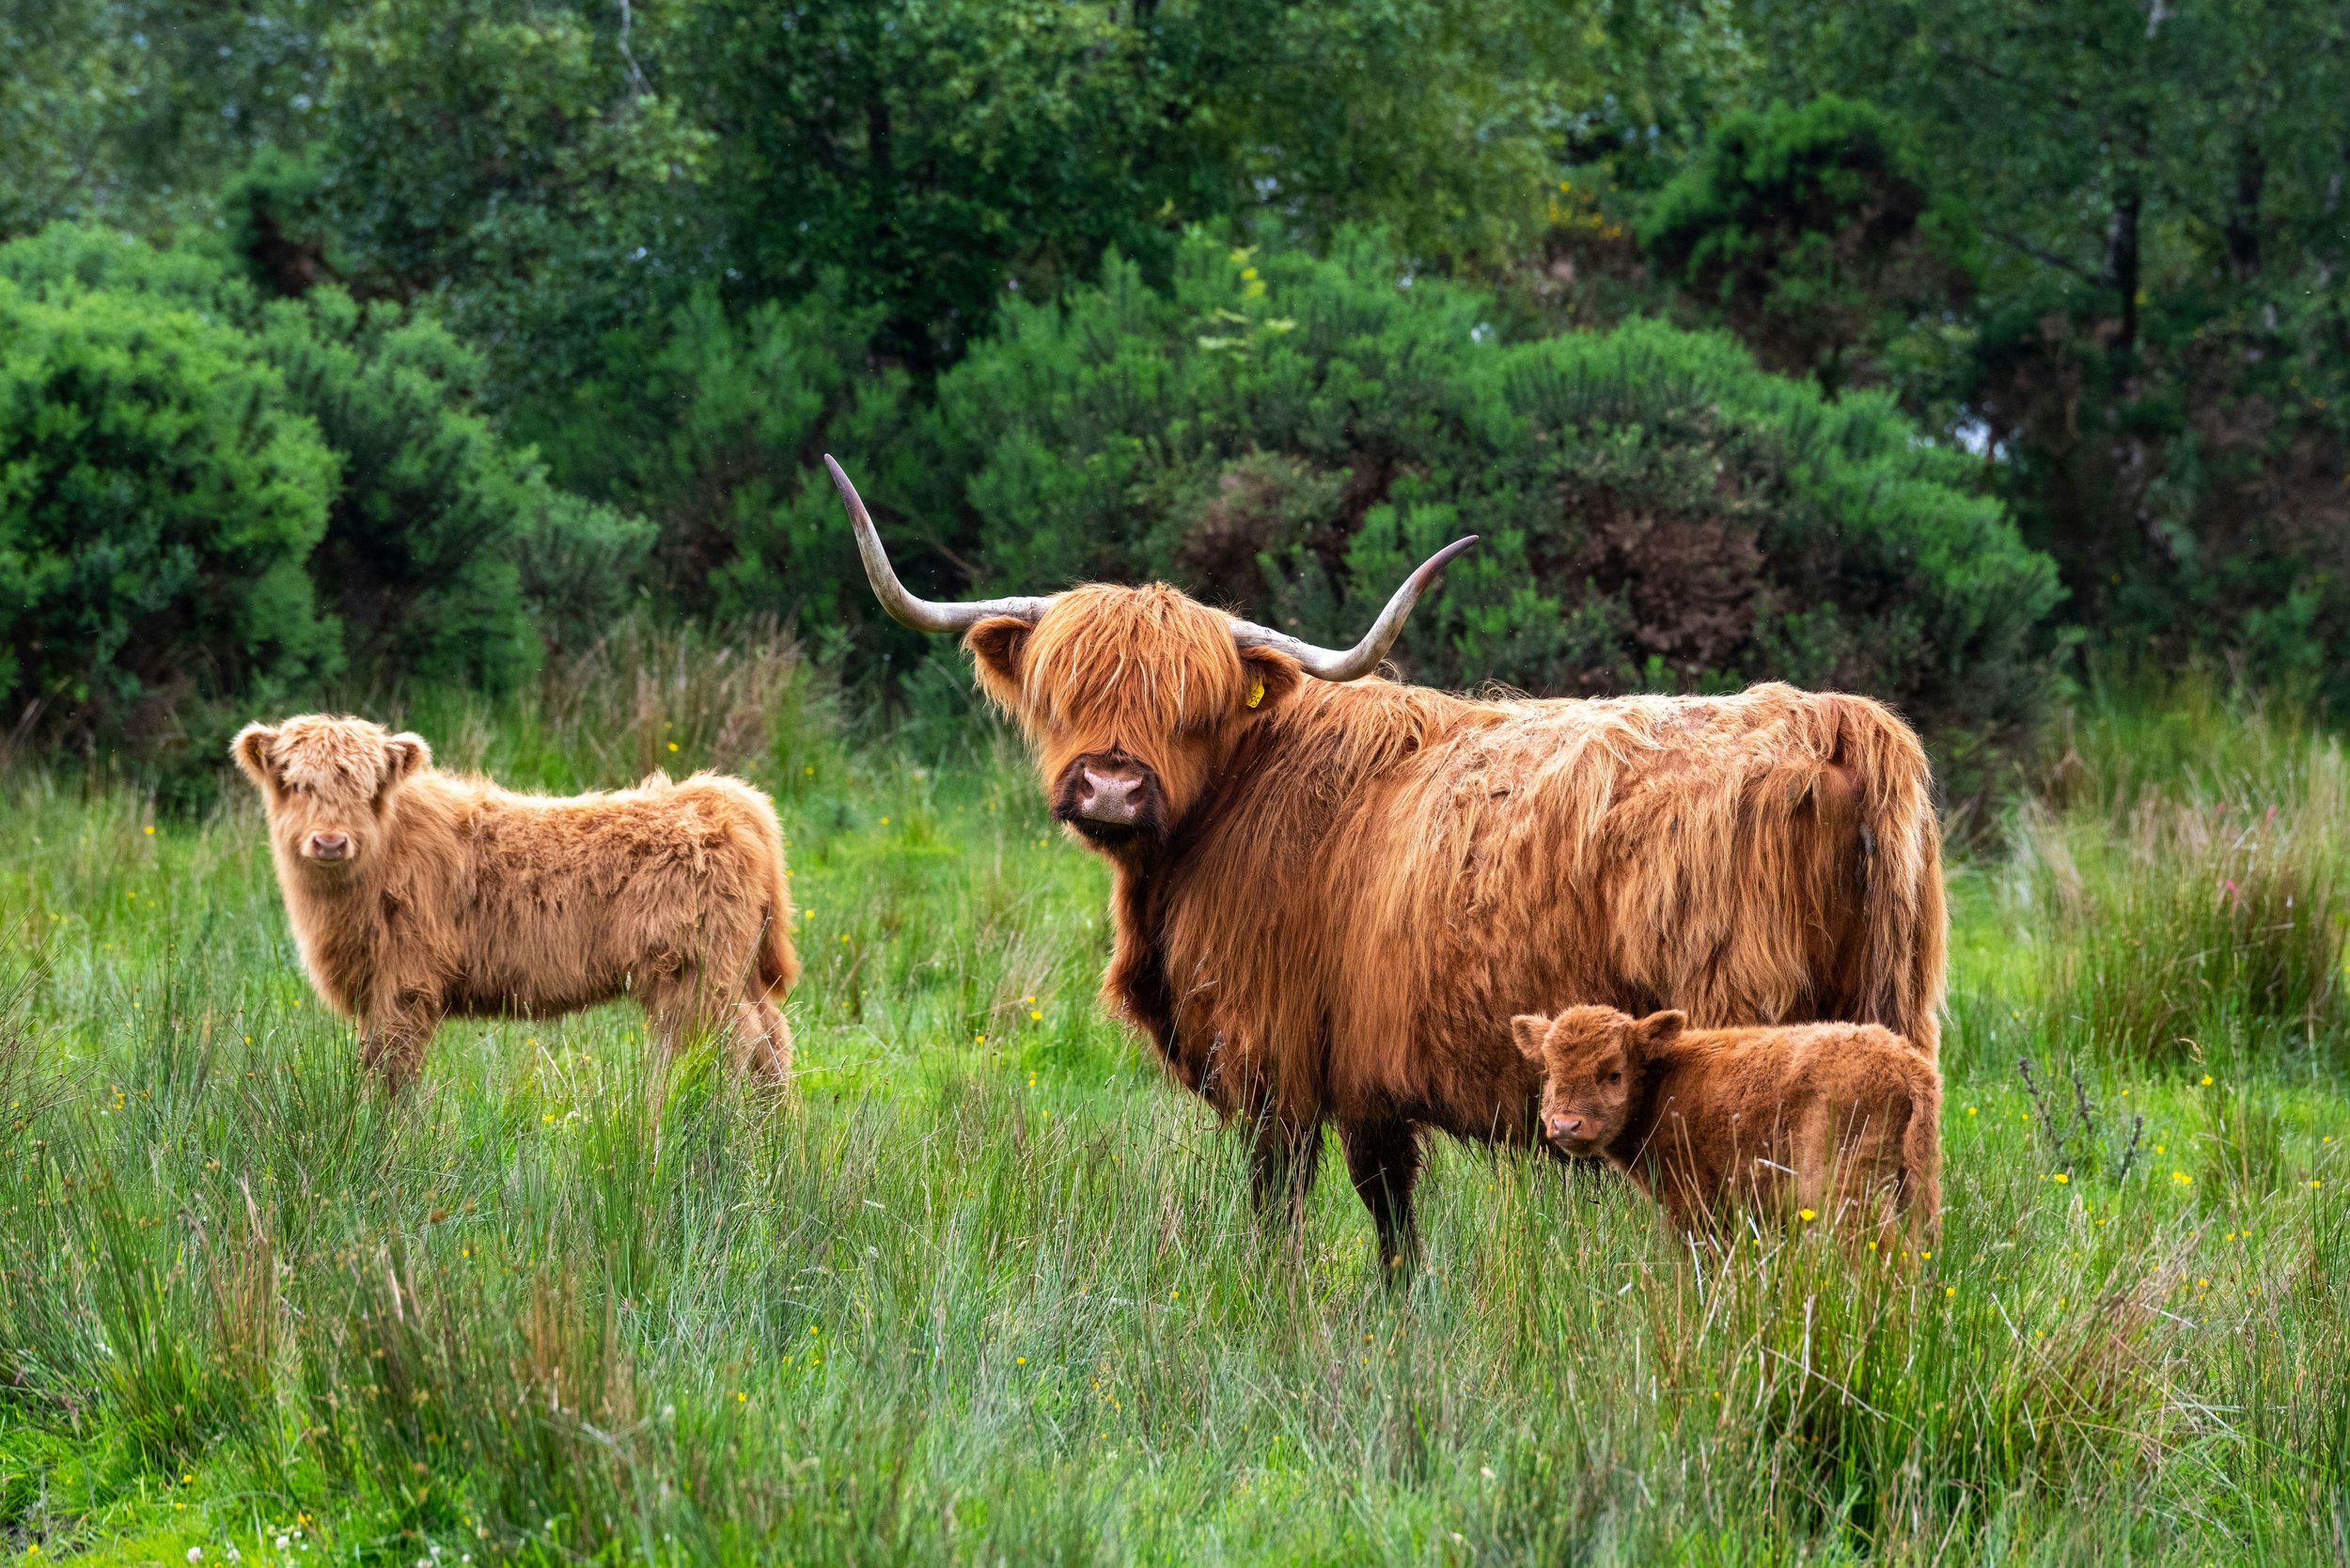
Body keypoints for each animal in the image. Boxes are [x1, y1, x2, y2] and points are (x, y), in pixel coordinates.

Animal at [234, 714, 799, 1091]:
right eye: (294, 784)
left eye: (368, 788)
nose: (330, 842)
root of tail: (721, 796)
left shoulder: (405, 985)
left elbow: (391, 1070)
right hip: (735, 970)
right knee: (772, 1039)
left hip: (697, 975)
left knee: (736, 1046)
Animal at [1513, 1005, 1942, 1241]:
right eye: (1550, 1071)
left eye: (1613, 1074)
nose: (1566, 1125)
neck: (1663, 1080)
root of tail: (1903, 1059)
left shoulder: (1691, 1202)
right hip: (1912, 1181)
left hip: (1842, 1186)